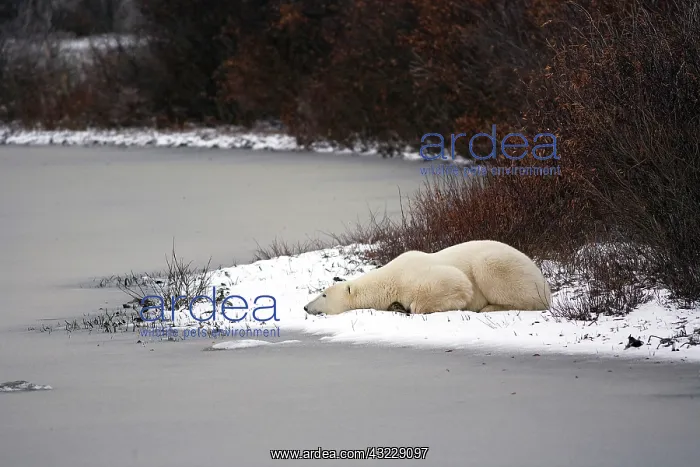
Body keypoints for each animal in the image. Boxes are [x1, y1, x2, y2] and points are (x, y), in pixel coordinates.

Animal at [303, 240, 552, 315]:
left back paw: (491, 307)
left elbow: (457, 283)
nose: (305, 307)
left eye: (323, 295)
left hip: (503, 265)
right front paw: (396, 306)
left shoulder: (416, 275)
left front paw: (411, 307)